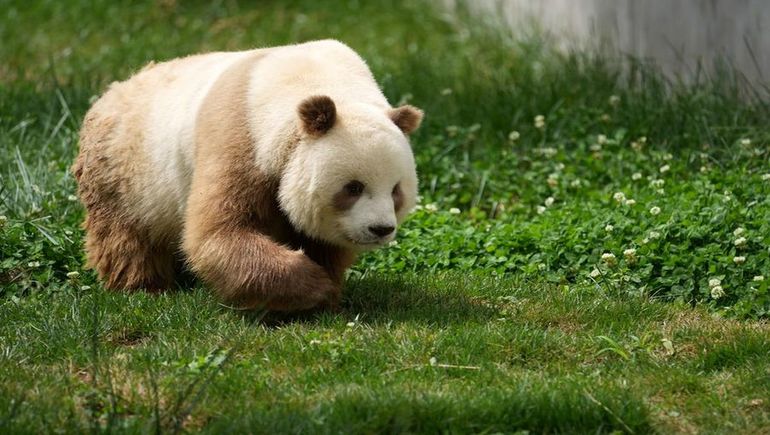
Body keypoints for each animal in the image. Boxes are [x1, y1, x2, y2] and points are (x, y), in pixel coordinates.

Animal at [71, 40, 423, 311]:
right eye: (353, 187)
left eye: (396, 190)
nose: (380, 229)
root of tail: (111, 91)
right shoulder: (240, 133)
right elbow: (218, 232)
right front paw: (312, 286)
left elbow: (321, 241)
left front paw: (327, 291)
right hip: (124, 171)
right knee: (126, 237)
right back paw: (144, 287)